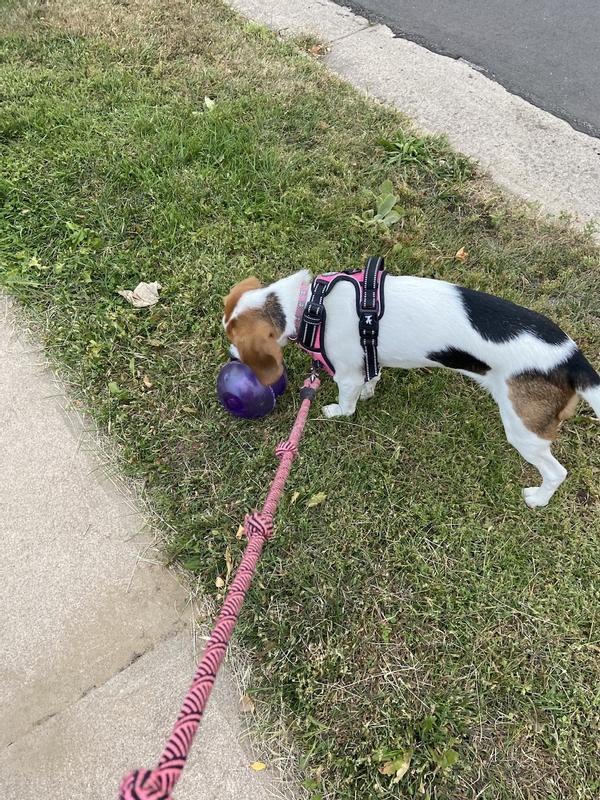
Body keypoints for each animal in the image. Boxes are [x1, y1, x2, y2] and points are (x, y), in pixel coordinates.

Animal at [223, 268, 596, 506]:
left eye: (235, 341)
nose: (229, 356)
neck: (312, 305)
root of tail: (572, 359)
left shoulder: (346, 375)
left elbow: (347, 403)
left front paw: (336, 412)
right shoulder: (367, 358)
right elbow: (371, 376)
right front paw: (370, 390)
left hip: (524, 431)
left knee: (557, 472)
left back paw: (539, 498)